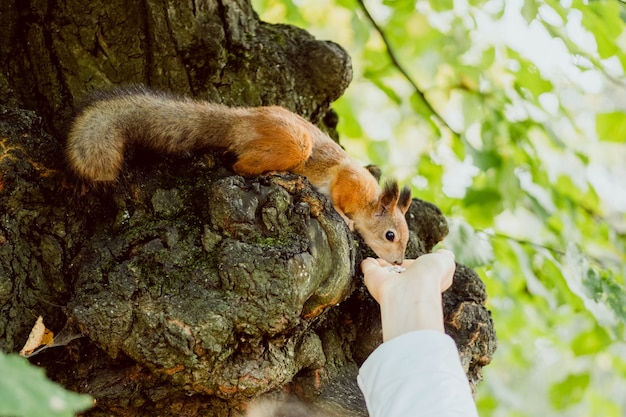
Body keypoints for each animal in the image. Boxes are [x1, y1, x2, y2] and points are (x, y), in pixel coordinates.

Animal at [66, 86, 412, 264]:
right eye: (390, 235)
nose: (397, 263)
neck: (370, 200)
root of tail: (242, 121)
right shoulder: (349, 181)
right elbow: (340, 199)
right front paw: (348, 220)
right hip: (295, 145)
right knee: (240, 167)